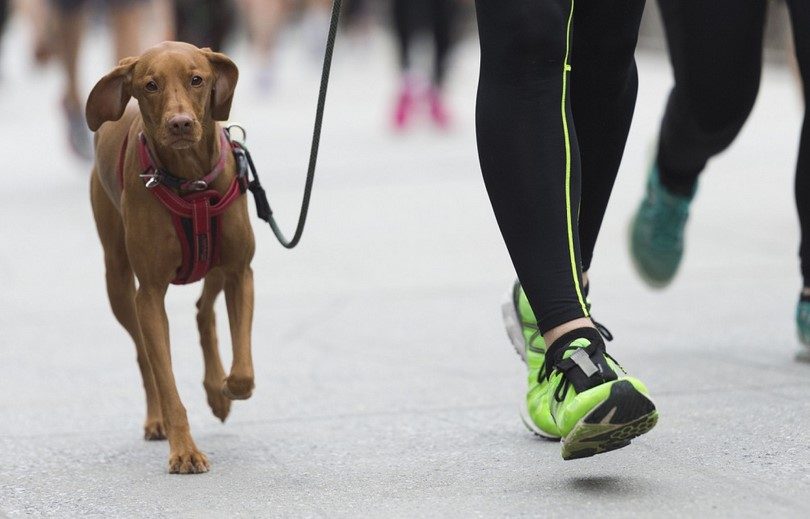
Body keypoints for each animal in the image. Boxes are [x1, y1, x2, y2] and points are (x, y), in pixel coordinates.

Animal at [87, 41, 254, 476]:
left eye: (197, 79)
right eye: (150, 85)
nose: (180, 124)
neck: (190, 181)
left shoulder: (240, 272)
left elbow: (243, 369)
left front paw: (227, 388)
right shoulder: (149, 294)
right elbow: (164, 377)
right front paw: (184, 450)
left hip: (214, 263)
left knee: (203, 311)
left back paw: (216, 390)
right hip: (117, 282)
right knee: (145, 357)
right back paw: (157, 417)